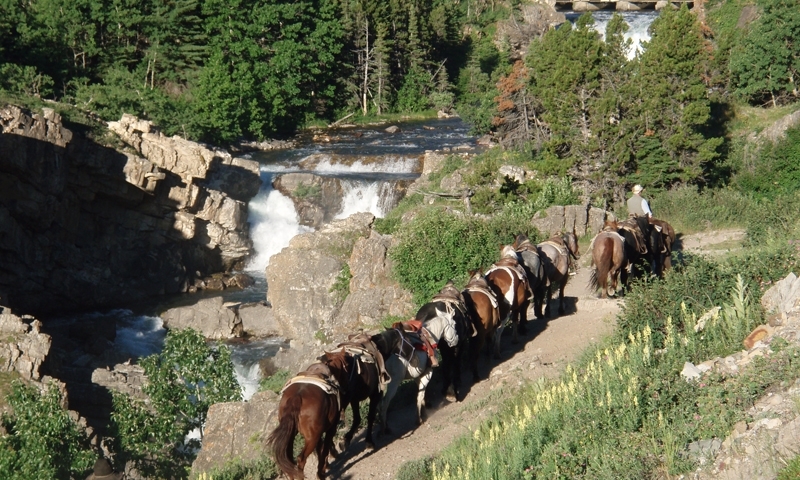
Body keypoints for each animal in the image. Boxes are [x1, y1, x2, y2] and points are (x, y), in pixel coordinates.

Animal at [266, 348, 350, 480]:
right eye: (346, 365)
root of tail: (296, 398)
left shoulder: (320, 431)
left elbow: (321, 448)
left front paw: (325, 466)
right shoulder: (330, 428)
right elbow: (325, 448)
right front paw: (321, 472)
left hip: (293, 434)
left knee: (289, 460)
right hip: (311, 438)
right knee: (301, 459)